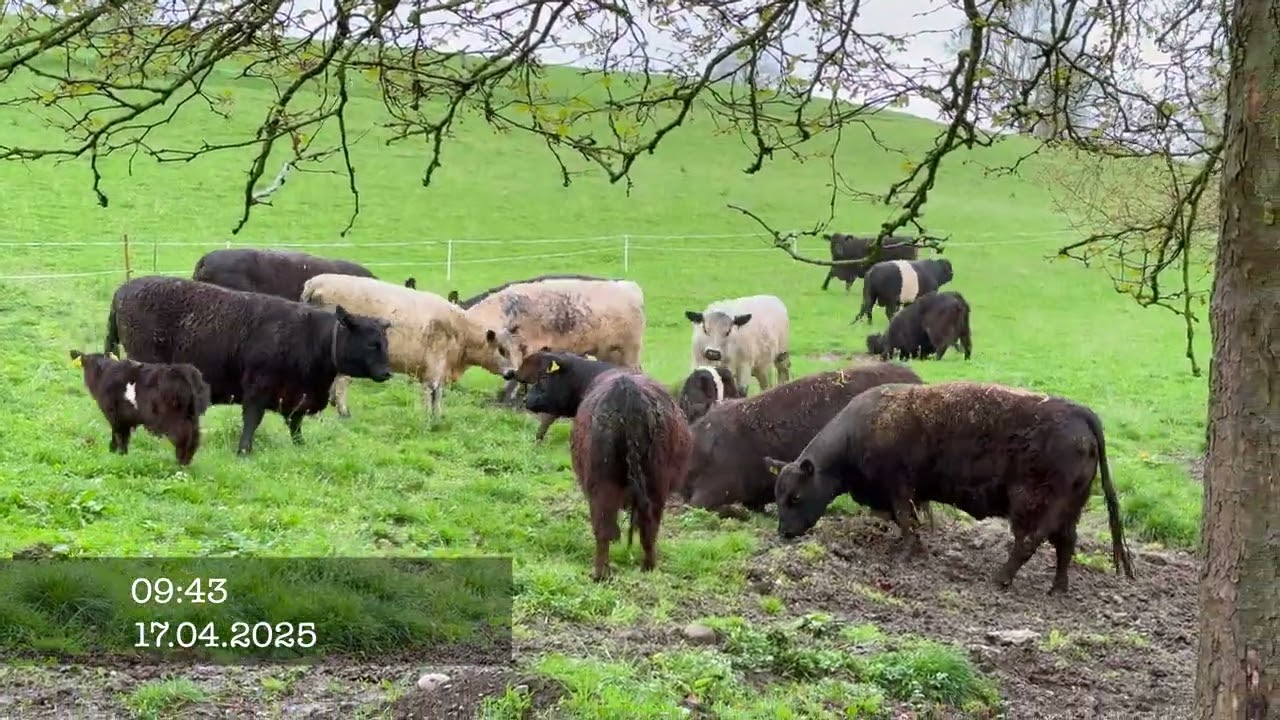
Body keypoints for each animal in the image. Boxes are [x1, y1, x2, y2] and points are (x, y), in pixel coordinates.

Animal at [69, 349, 212, 466]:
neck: (104, 373)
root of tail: (183, 371)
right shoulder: (126, 420)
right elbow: (122, 438)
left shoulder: (115, 416)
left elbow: (118, 437)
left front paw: (117, 454)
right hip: (193, 416)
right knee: (195, 438)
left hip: (175, 418)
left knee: (183, 438)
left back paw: (180, 465)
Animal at [104, 276, 393, 455]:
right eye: (371, 344)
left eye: (384, 342)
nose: (387, 372)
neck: (308, 335)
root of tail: (123, 290)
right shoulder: (257, 388)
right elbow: (252, 421)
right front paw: (244, 451)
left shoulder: (296, 395)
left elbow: (295, 423)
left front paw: (300, 446)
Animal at [300, 274, 520, 420]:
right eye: (501, 350)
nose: (512, 372)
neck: (460, 328)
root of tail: (315, 283)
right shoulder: (435, 365)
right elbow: (432, 391)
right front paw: (430, 418)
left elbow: (437, 393)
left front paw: (437, 416)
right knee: (342, 383)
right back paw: (341, 412)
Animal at [525, 366, 691, 581]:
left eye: (544, 377)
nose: (526, 400)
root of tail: (627, 390)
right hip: (654, 488)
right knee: (647, 528)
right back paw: (646, 568)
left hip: (606, 485)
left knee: (606, 530)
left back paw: (602, 574)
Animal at [767, 381, 1137, 595]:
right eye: (777, 496)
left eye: (795, 497)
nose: (784, 533)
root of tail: (1080, 412)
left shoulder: (899, 487)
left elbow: (905, 519)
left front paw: (909, 552)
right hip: (1071, 507)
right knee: (1066, 543)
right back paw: (1058, 588)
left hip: (1032, 504)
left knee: (1029, 541)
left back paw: (1000, 579)